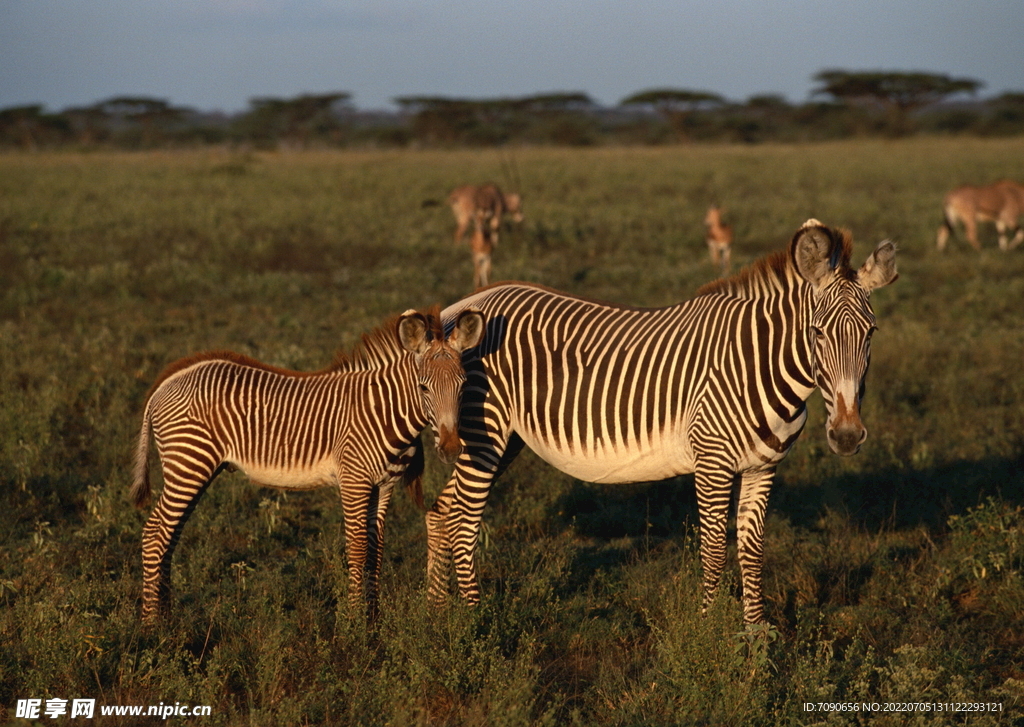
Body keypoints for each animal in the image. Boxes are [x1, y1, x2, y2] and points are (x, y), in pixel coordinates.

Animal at [131, 309, 483, 626]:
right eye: (423, 387)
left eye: (464, 385)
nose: (451, 448)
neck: (383, 411)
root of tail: (166, 381)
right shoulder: (354, 481)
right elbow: (358, 548)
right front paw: (355, 626)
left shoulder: (384, 486)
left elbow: (376, 550)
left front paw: (374, 622)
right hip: (188, 464)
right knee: (155, 534)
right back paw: (152, 626)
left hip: (195, 468)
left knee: (170, 534)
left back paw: (167, 618)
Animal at [430, 219, 897, 622]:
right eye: (818, 333)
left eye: (871, 333)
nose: (847, 435)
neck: (759, 364)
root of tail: (460, 307)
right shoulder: (712, 464)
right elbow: (713, 552)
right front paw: (709, 636)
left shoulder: (763, 467)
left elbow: (751, 553)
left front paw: (756, 643)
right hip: (485, 431)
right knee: (463, 518)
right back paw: (475, 623)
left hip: (502, 440)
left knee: (442, 510)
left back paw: (439, 614)